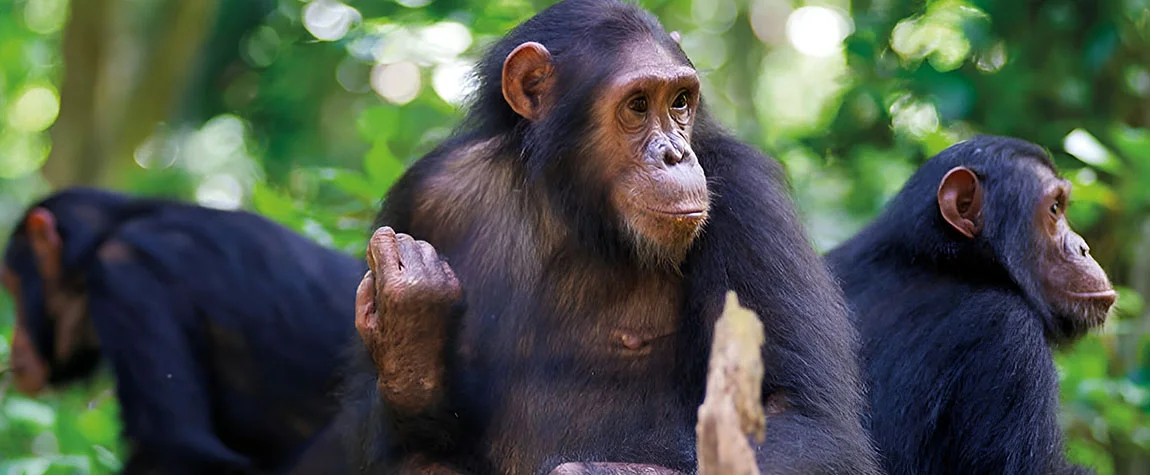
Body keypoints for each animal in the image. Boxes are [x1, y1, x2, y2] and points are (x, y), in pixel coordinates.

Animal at [328, 0, 883, 473]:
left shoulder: (750, 205)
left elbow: (801, 419)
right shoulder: (421, 197)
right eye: (637, 105)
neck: (569, 204)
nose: (675, 154)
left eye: (680, 102)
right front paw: (410, 331)